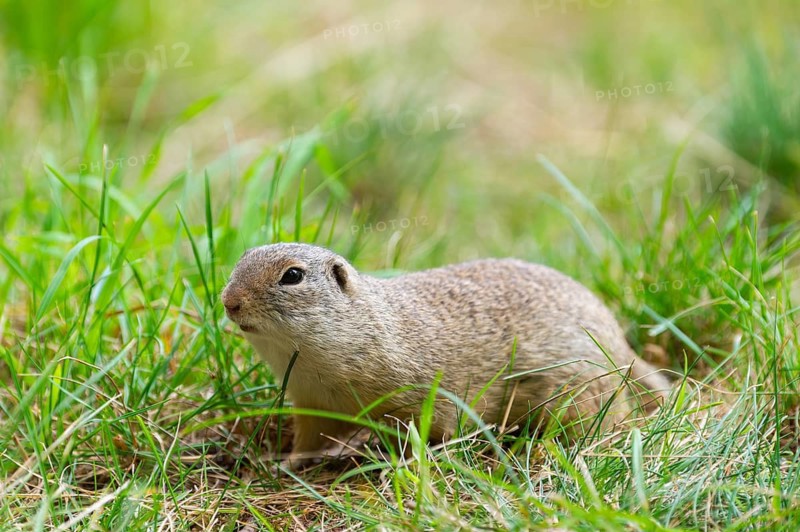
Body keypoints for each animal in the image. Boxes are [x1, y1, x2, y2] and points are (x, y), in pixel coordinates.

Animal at [221, 243, 671, 467]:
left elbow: (433, 432)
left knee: (609, 423)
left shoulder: (428, 397)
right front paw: (283, 463)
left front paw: (405, 465)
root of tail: (620, 343)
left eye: (293, 275)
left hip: (578, 392)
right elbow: (308, 441)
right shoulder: (311, 404)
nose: (229, 302)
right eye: (241, 258)